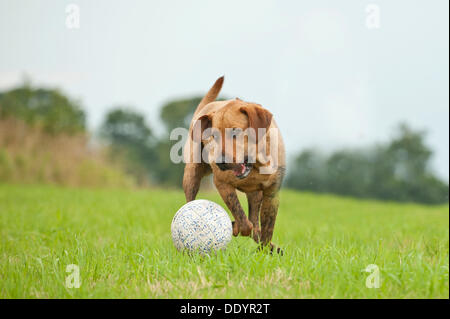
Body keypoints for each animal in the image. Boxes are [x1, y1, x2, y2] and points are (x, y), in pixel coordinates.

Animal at [182, 76, 284, 254]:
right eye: (214, 135)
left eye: (235, 132)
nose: (220, 161)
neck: (256, 165)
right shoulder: (222, 184)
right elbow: (243, 220)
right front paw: (236, 226)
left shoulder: (272, 194)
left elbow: (266, 229)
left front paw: (265, 250)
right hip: (191, 175)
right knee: (190, 199)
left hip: (256, 195)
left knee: (256, 223)